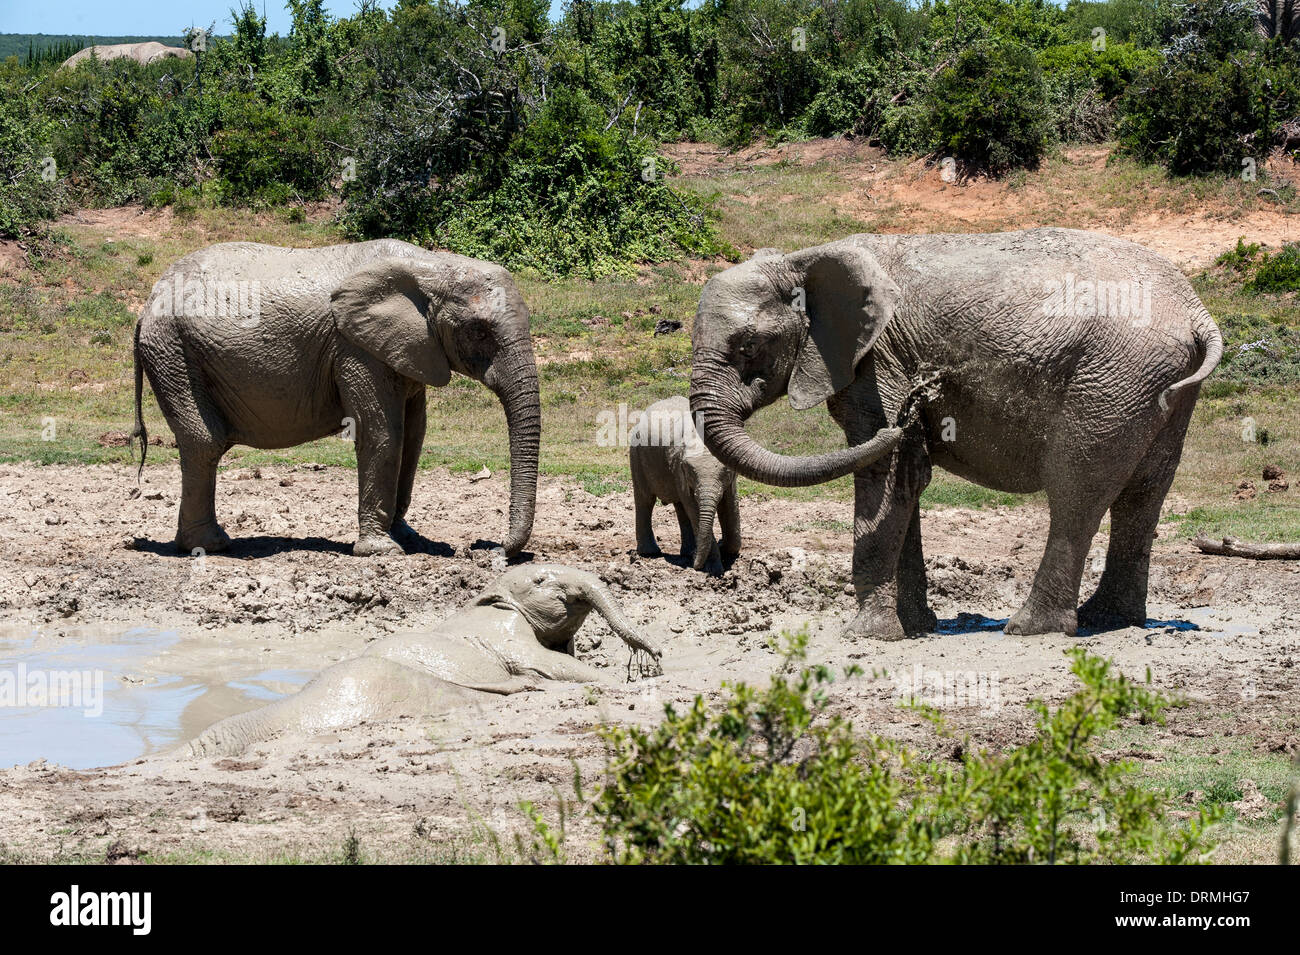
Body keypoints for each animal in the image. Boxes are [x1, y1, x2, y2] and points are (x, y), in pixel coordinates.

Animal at [131, 235, 538, 556]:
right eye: (479, 331)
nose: (484, 548)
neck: (433, 267)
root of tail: (147, 303)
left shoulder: (408, 348)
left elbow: (414, 435)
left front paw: (411, 540)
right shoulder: (355, 348)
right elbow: (383, 433)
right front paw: (382, 551)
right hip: (173, 352)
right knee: (205, 442)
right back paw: (211, 546)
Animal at [631, 392, 743, 571]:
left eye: (725, 472)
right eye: (691, 471)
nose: (695, 565)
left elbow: (730, 504)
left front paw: (723, 548)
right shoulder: (679, 469)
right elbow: (694, 509)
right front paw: (713, 569)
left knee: (680, 506)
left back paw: (688, 552)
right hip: (636, 455)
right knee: (646, 500)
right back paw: (651, 553)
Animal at [696, 227, 1222, 639]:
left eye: (748, 346)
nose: (924, 391)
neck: (801, 259)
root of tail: (1197, 312)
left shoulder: (879, 364)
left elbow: (885, 474)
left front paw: (866, 635)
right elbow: (902, 481)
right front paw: (915, 628)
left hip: (1111, 381)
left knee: (1076, 490)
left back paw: (1032, 628)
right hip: (1159, 385)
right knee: (1143, 494)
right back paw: (1110, 620)